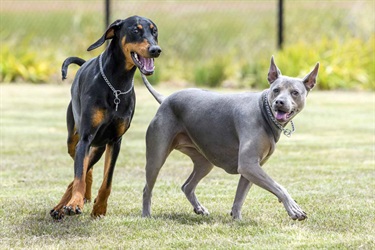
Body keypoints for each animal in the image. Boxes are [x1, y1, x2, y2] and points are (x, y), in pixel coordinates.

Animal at [141, 57, 320, 221]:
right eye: (276, 90)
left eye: (295, 92)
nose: (279, 102)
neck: (264, 112)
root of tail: (165, 99)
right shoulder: (248, 165)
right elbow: (280, 187)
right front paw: (294, 208)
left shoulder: (251, 168)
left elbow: (240, 197)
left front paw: (237, 219)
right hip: (156, 158)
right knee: (147, 188)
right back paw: (146, 214)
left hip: (205, 161)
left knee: (187, 186)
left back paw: (199, 208)